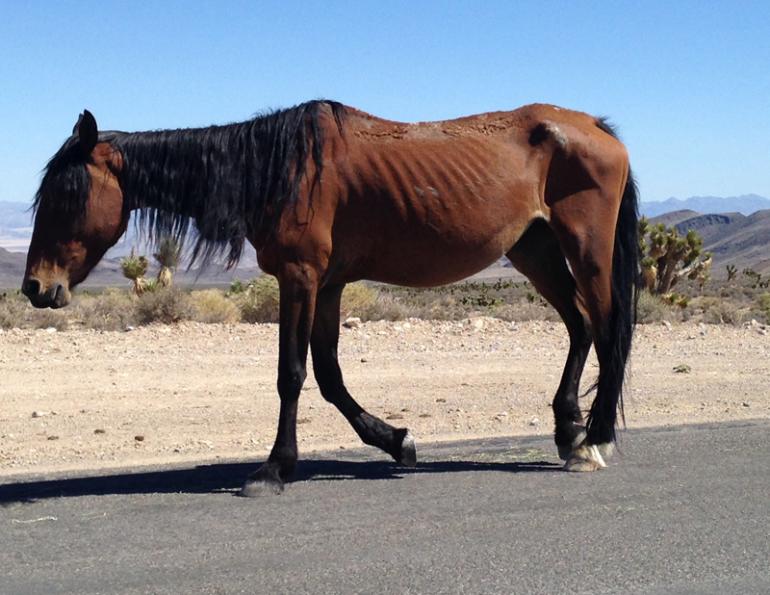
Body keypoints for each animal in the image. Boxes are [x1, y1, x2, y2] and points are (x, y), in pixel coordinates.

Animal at [22, 100, 640, 496]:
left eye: (67, 193)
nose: (36, 287)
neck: (277, 170)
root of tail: (596, 128)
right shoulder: (328, 284)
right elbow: (328, 376)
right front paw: (397, 441)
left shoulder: (300, 278)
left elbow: (292, 374)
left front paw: (273, 470)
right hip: (534, 249)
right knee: (580, 326)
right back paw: (569, 433)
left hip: (584, 248)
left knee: (606, 328)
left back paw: (594, 440)